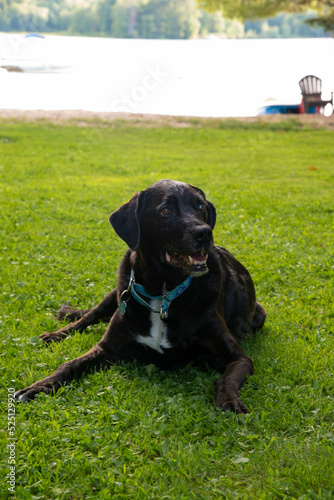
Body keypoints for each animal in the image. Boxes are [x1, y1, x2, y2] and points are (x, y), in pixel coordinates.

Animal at [15, 180, 266, 414]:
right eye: (166, 210)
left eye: (201, 207)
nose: (205, 233)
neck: (163, 293)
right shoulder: (107, 347)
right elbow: (70, 365)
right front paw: (38, 386)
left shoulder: (238, 358)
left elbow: (226, 378)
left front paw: (229, 401)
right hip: (117, 292)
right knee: (89, 317)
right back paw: (56, 335)